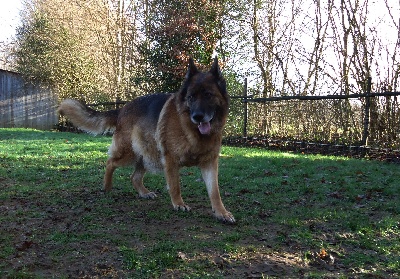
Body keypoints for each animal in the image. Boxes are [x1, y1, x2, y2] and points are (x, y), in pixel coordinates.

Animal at [57, 58, 236, 224]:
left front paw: (221, 212)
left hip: (148, 155)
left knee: (134, 177)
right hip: (129, 153)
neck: (192, 131)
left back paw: (143, 192)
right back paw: (107, 187)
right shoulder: (170, 160)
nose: (197, 116)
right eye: (191, 97)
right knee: (110, 162)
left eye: (208, 95)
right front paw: (178, 204)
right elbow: (175, 186)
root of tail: (122, 109)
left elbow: (215, 191)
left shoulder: (209, 163)